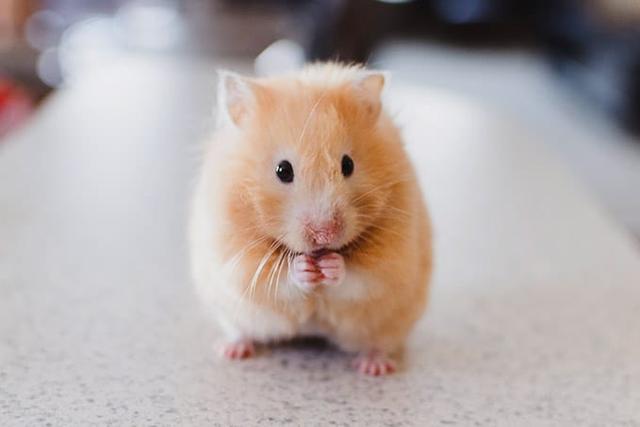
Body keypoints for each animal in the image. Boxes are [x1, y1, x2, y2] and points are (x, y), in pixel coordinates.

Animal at [189, 63, 432, 376]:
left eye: (348, 164)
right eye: (283, 170)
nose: (325, 235)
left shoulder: (392, 260)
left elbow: (360, 277)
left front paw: (331, 266)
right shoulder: (236, 258)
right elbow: (276, 279)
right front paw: (304, 268)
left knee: (378, 343)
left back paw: (374, 367)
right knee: (240, 330)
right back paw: (231, 350)